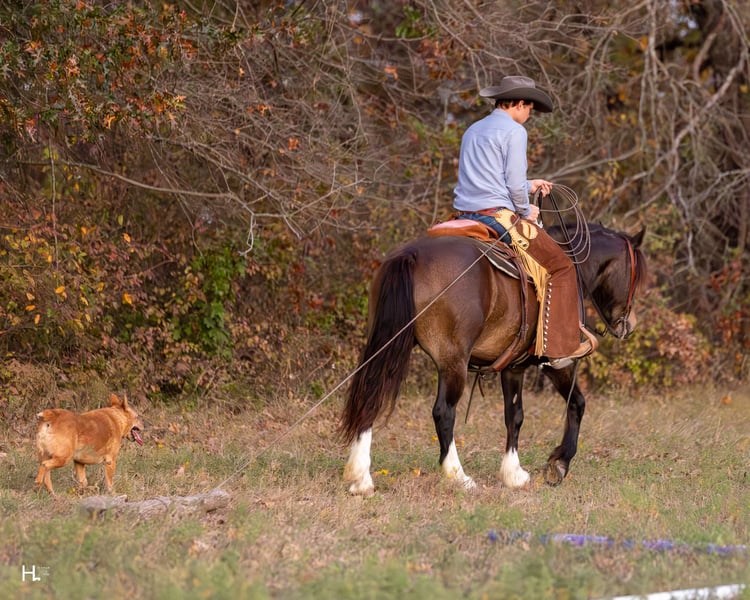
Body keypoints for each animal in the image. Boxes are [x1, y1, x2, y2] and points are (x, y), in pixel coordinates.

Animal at [340, 222, 647, 495]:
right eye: (636, 276)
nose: (629, 324)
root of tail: (411, 254)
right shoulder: (557, 363)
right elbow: (577, 403)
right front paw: (558, 463)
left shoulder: (513, 368)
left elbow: (514, 415)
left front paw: (513, 473)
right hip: (453, 363)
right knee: (443, 412)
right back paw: (457, 476)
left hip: (387, 345)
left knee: (370, 395)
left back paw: (360, 478)